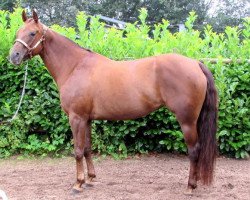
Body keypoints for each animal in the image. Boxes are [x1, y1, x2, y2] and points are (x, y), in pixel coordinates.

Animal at [9, 10, 217, 194]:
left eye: (32, 33)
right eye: (18, 31)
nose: (13, 56)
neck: (75, 66)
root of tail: (195, 63)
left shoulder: (76, 118)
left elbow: (77, 151)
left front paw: (78, 184)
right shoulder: (87, 119)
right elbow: (87, 149)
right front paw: (91, 179)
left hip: (187, 121)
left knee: (194, 150)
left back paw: (190, 186)